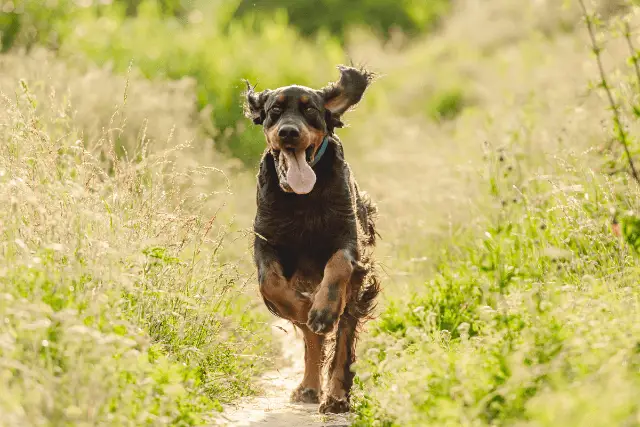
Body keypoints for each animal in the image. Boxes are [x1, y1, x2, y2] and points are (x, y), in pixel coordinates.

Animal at [244, 64, 380, 414]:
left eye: (311, 111)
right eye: (274, 111)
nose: (289, 133)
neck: (302, 198)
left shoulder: (348, 241)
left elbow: (338, 266)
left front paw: (323, 311)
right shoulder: (266, 242)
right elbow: (270, 283)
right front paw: (305, 307)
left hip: (356, 293)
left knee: (343, 337)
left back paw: (335, 396)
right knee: (311, 338)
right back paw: (308, 387)